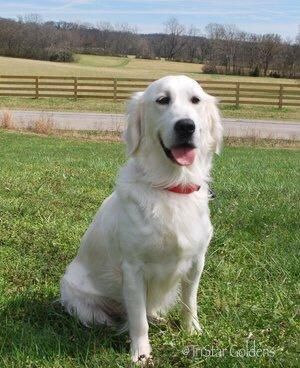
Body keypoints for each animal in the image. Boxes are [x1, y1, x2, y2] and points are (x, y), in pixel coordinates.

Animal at [59, 74, 221, 362]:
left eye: (196, 100)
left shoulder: (196, 261)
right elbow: (137, 318)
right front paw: (141, 352)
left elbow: (189, 302)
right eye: (162, 100)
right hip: (82, 300)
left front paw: (192, 331)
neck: (171, 186)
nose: (186, 126)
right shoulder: (133, 269)